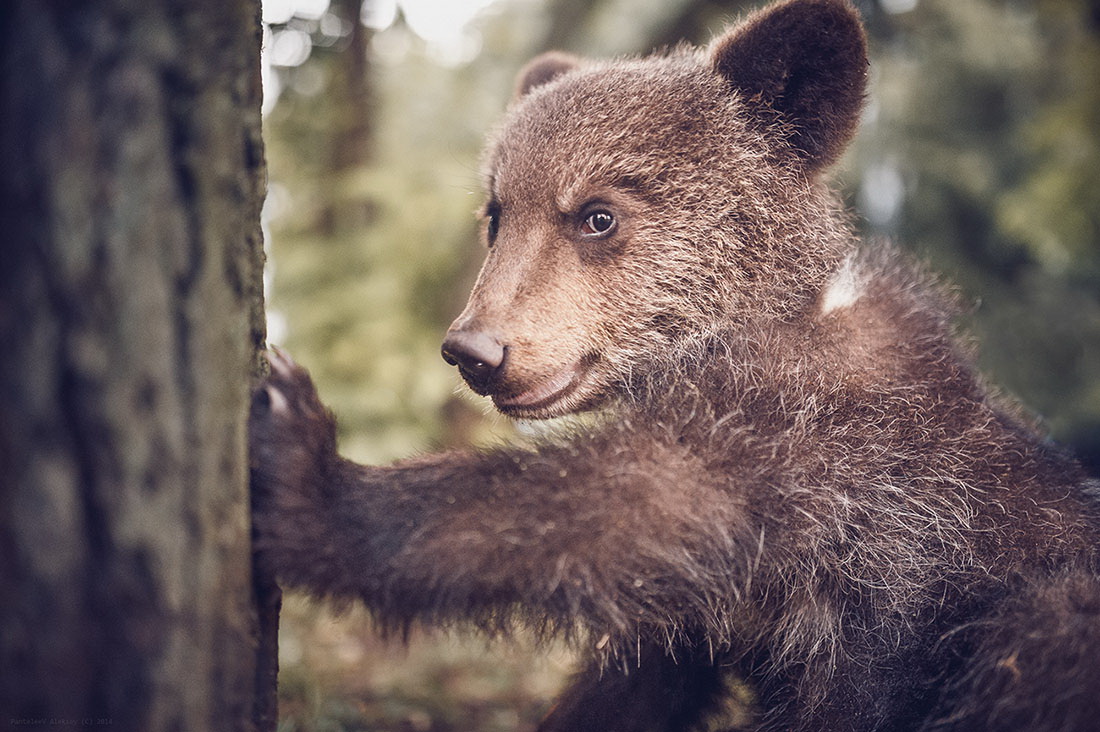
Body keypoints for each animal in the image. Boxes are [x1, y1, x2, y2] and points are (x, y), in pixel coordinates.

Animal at [249, 2, 1100, 726]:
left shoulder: (831, 466)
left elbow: (619, 508)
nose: (476, 351)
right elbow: (632, 673)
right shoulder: (719, 608)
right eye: (497, 212)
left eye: (597, 215)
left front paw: (309, 468)